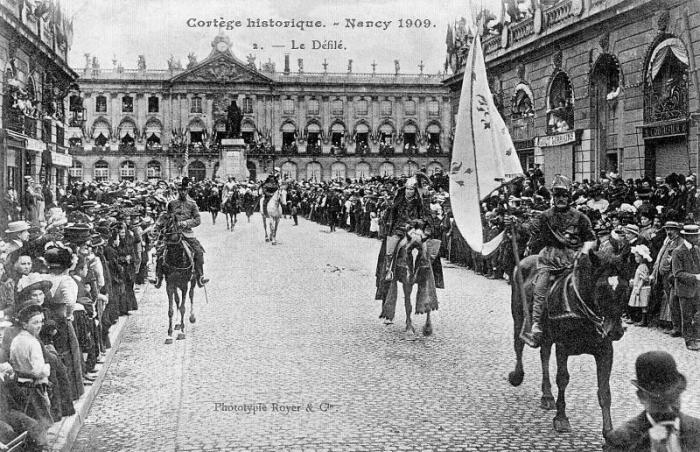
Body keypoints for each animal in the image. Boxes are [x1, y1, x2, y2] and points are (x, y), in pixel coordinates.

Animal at [508, 251, 628, 438]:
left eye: (625, 288)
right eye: (602, 288)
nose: (616, 331)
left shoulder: (605, 350)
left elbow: (604, 390)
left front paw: (609, 432)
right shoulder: (563, 346)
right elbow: (563, 379)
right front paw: (561, 418)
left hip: (548, 336)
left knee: (544, 356)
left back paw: (547, 396)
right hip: (519, 317)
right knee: (518, 345)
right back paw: (517, 376)